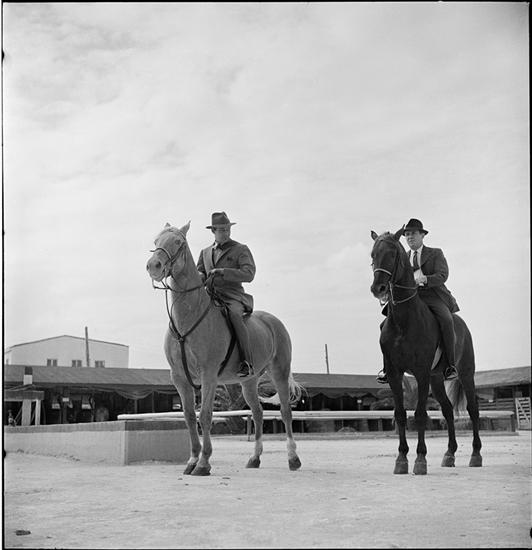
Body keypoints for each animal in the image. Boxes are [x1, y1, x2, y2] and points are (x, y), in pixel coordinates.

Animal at [146, 222, 303, 476]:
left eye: (179, 242)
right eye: (156, 241)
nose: (153, 266)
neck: (188, 318)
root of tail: (273, 321)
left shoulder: (208, 374)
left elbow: (205, 416)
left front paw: (203, 463)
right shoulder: (179, 378)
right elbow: (189, 417)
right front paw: (192, 460)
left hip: (279, 371)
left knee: (286, 412)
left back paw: (293, 458)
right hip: (249, 381)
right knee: (258, 413)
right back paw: (254, 458)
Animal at [370, 228, 482, 475]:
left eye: (393, 254)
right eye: (373, 254)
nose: (377, 289)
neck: (403, 320)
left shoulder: (420, 372)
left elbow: (420, 415)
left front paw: (420, 460)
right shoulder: (395, 373)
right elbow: (400, 415)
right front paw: (401, 459)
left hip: (465, 373)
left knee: (472, 409)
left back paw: (475, 455)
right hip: (436, 378)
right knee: (448, 410)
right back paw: (449, 455)